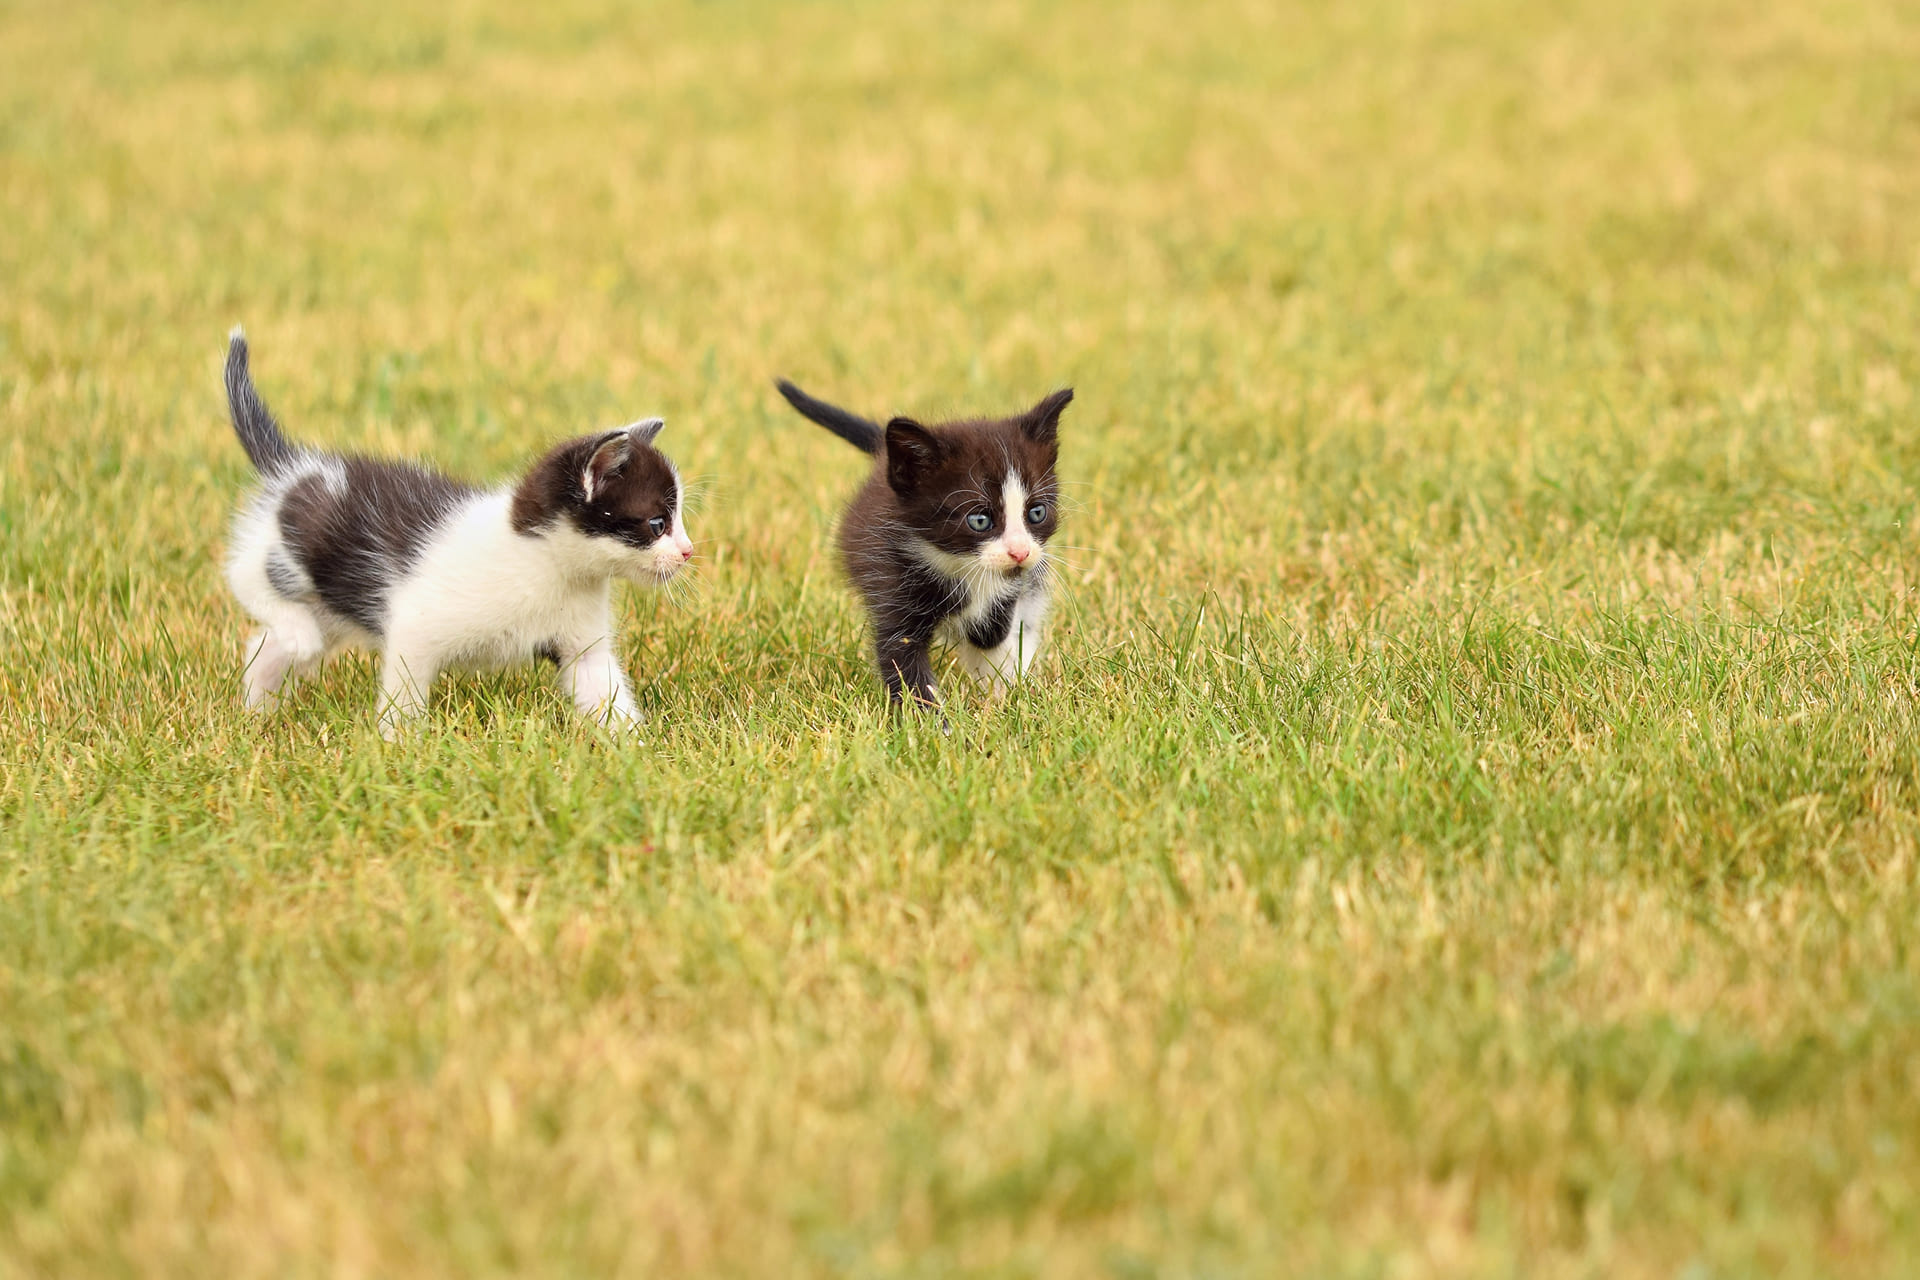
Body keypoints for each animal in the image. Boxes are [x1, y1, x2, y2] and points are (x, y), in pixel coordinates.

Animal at [222, 329, 693, 737]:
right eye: (658, 524)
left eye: (680, 520)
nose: (688, 551)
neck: (549, 566)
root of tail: (298, 470)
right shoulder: (415, 623)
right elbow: (404, 691)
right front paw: (397, 742)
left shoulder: (581, 645)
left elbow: (604, 690)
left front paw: (636, 750)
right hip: (291, 551)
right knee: (244, 575)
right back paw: (293, 634)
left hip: (331, 604)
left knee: (263, 647)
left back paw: (256, 710)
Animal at [775, 378, 1072, 711]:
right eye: (979, 520)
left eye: (1037, 513)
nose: (1020, 552)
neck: (959, 566)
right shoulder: (892, 587)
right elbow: (903, 663)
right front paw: (930, 720)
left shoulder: (1006, 594)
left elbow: (991, 635)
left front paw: (1001, 694)